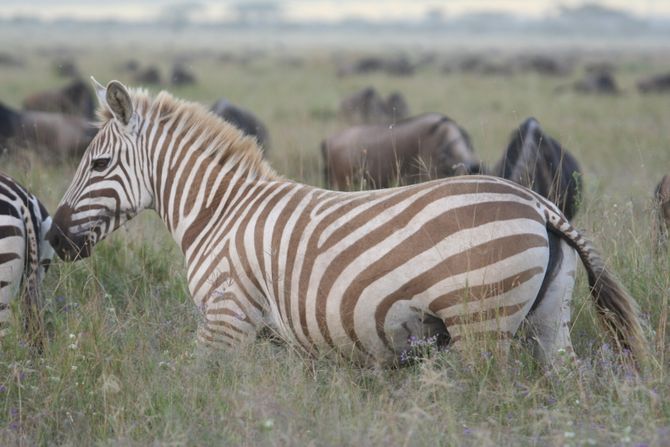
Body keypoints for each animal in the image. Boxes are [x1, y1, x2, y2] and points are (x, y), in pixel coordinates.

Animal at [44, 79, 648, 368]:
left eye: (98, 164)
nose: (53, 237)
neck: (220, 214)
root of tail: (539, 204)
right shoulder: (283, 337)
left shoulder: (225, 317)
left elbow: (199, 390)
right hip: (549, 323)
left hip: (483, 325)